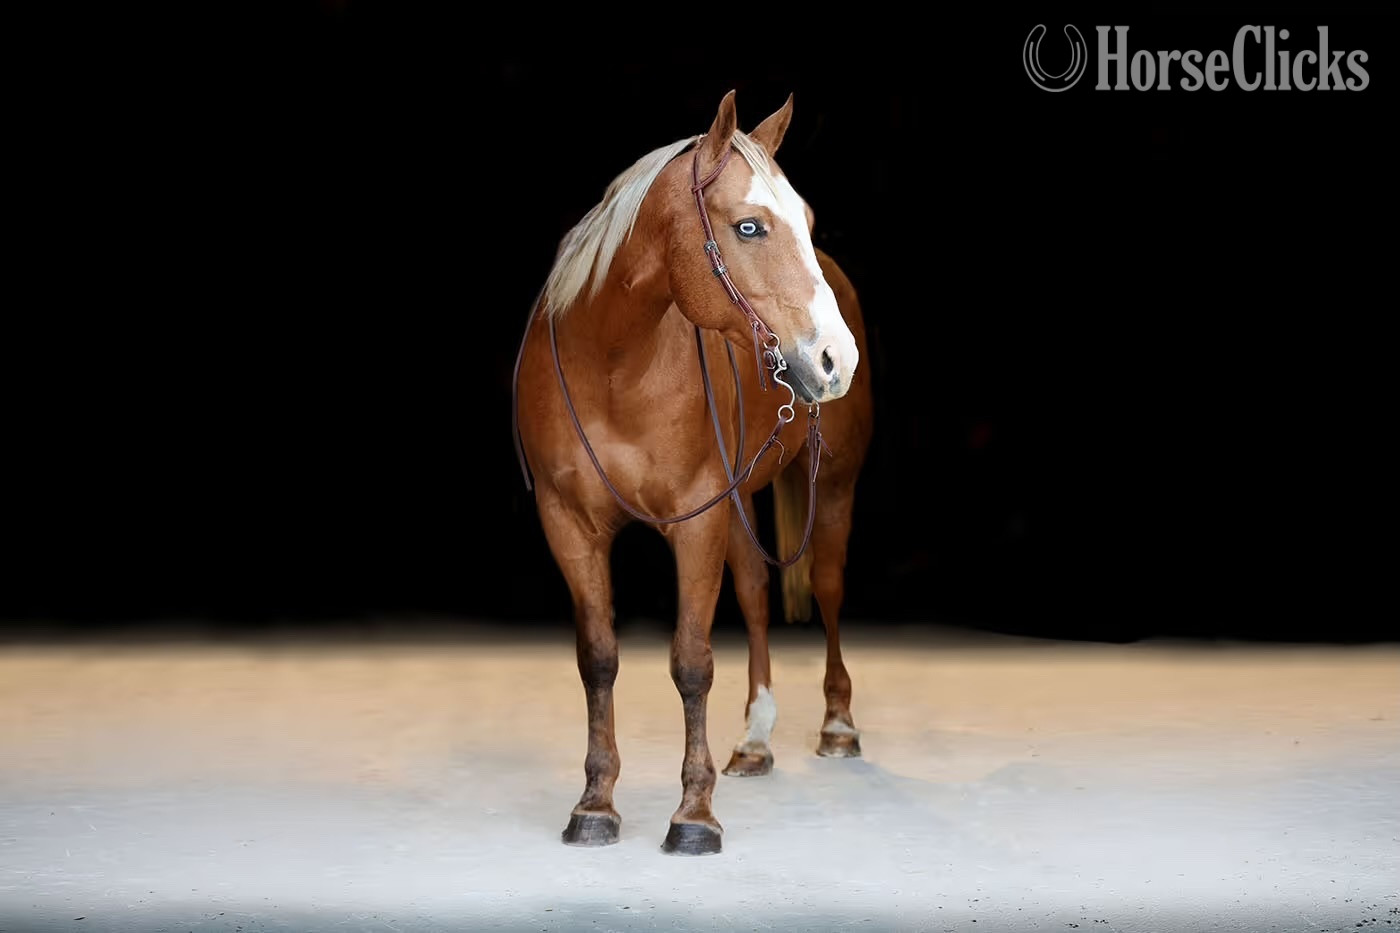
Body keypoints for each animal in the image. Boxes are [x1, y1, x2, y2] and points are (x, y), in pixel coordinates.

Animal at [512, 89, 874, 855]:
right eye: (749, 226)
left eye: (807, 221)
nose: (836, 359)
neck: (614, 365)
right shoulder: (570, 525)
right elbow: (599, 658)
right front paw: (595, 803)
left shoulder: (697, 521)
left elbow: (691, 662)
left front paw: (694, 814)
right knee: (758, 594)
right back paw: (756, 740)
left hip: (832, 487)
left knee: (827, 587)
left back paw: (837, 726)